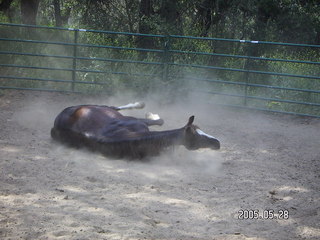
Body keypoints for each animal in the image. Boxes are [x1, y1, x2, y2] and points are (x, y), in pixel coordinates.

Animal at [50, 101, 220, 159]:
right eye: (197, 137)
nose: (217, 143)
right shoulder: (136, 121)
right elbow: (159, 121)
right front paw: (152, 114)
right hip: (101, 107)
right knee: (114, 107)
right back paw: (140, 104)